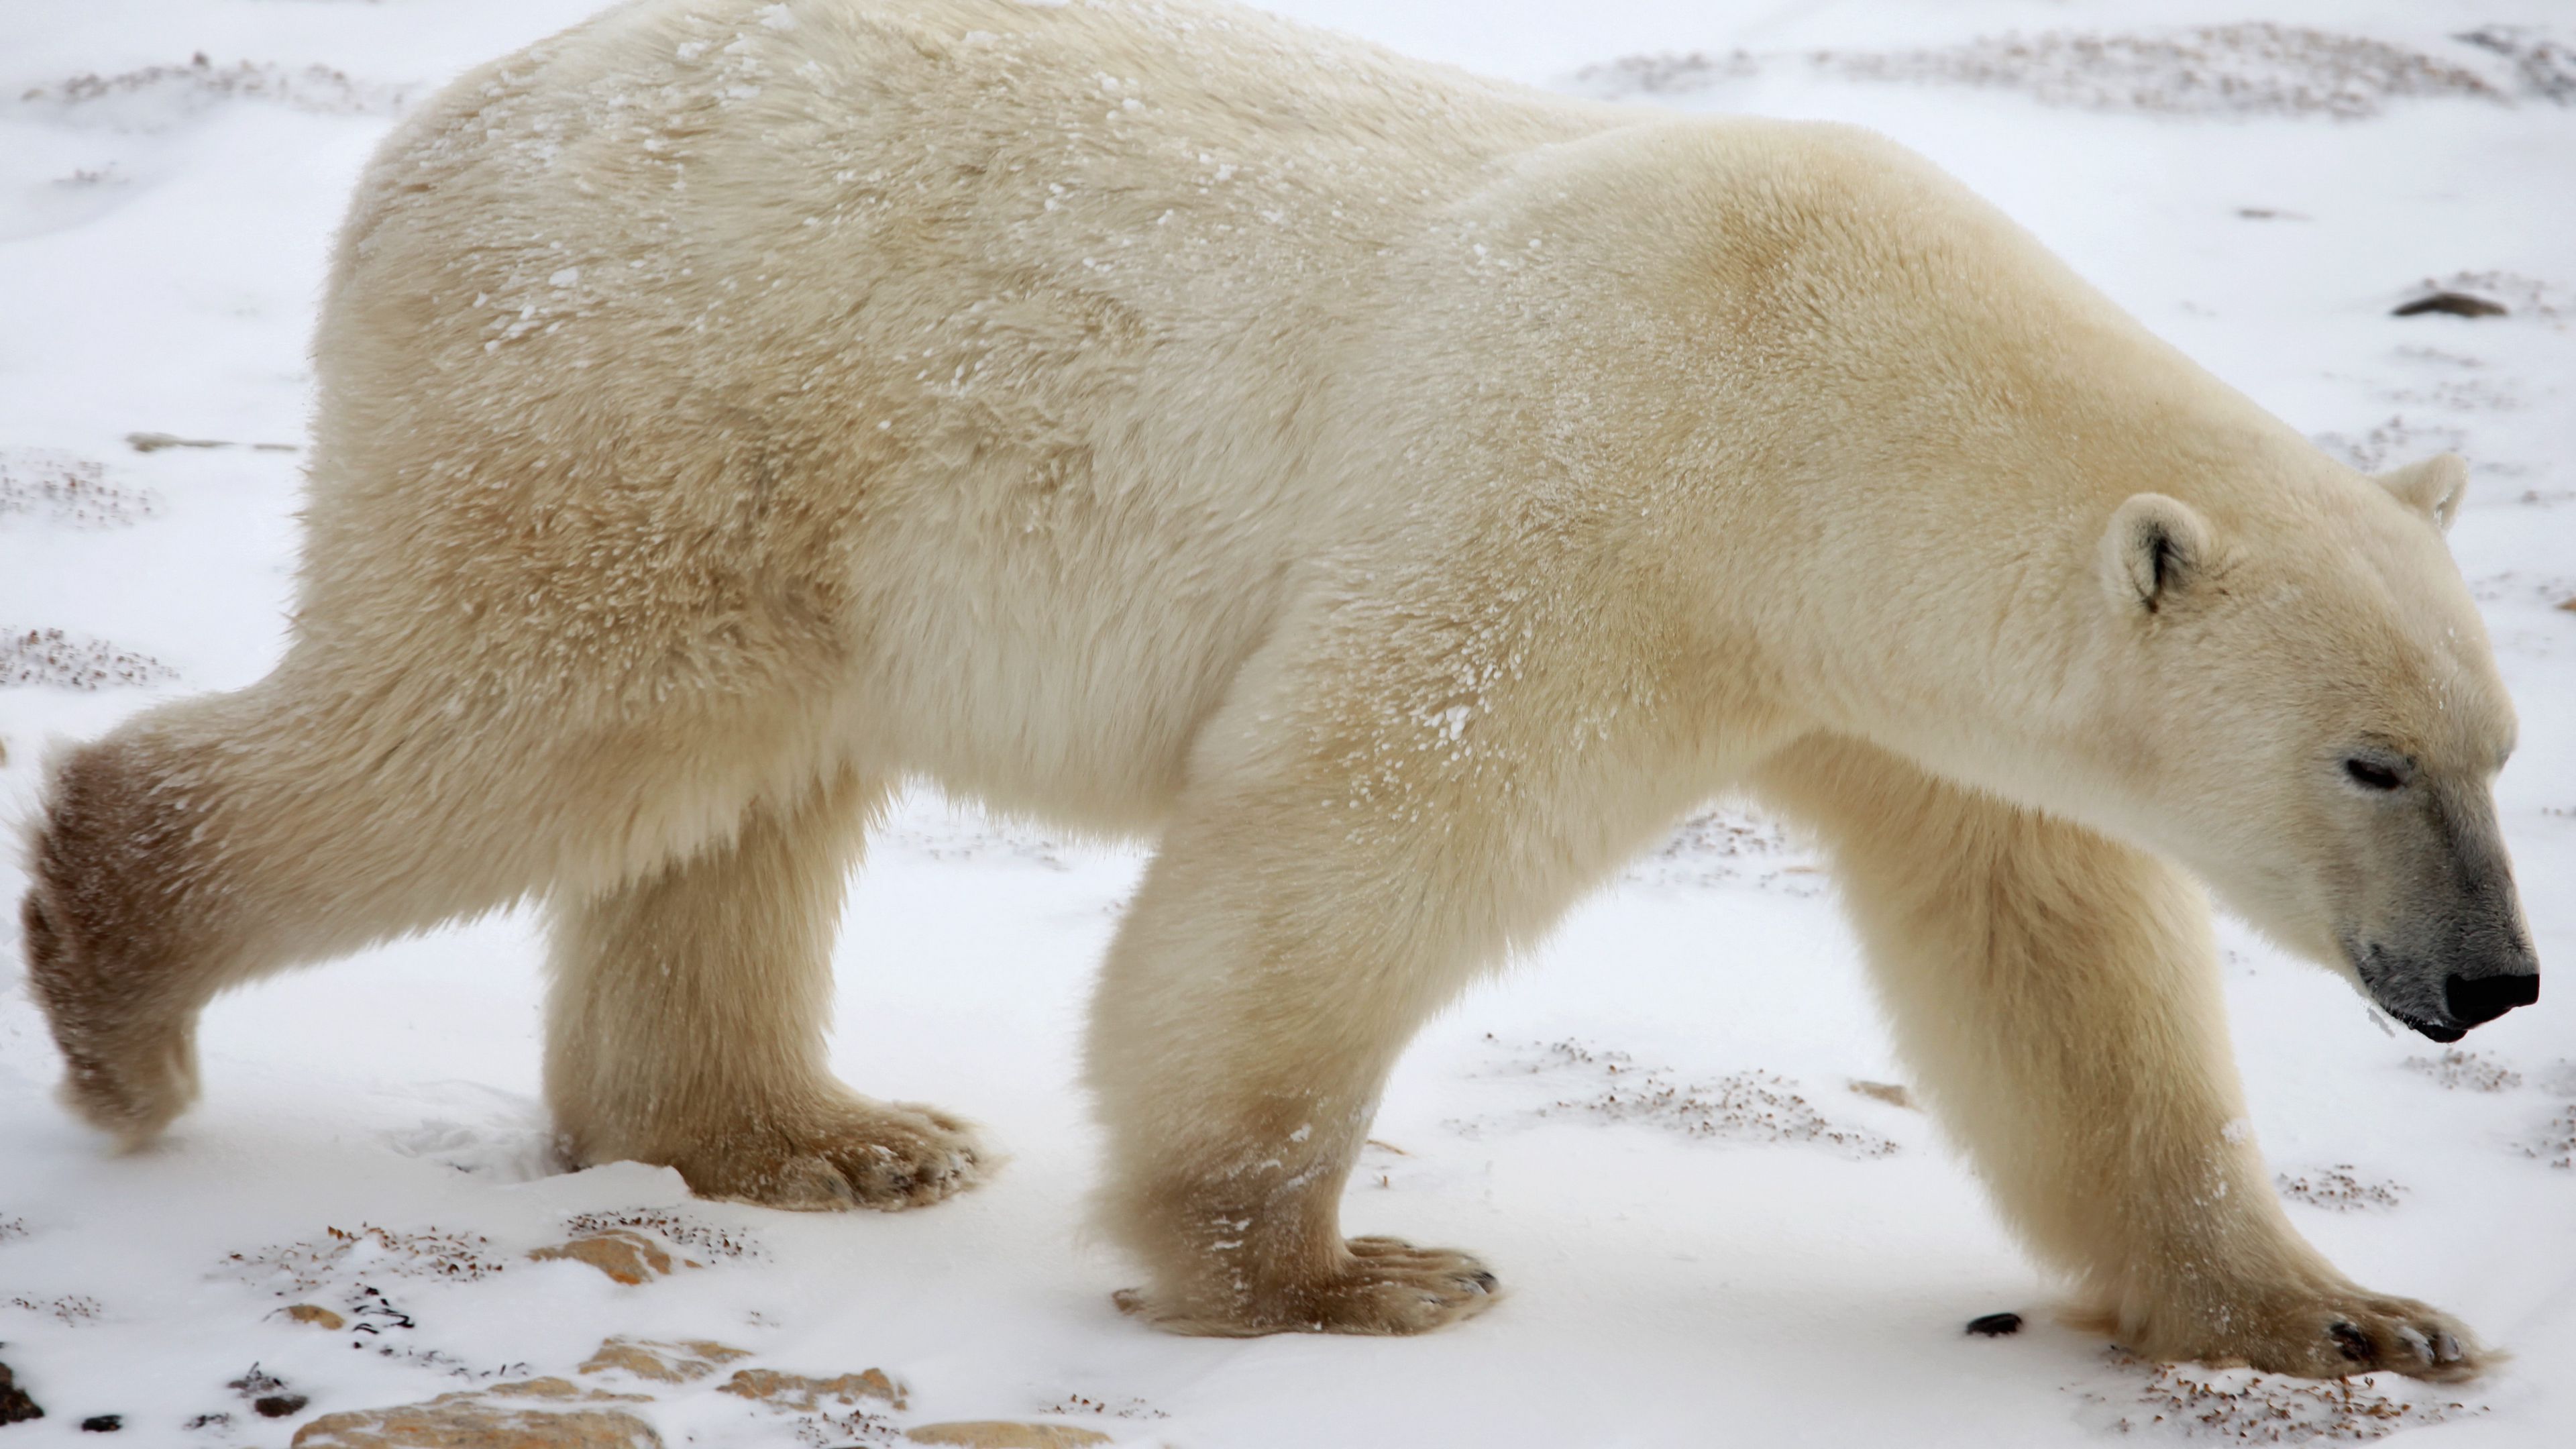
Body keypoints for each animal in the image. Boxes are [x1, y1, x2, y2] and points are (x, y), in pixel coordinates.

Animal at [17, 0, 2539, 1379]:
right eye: (2368, 758)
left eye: (2502, 753)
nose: (2493, 983)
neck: (1831, 392)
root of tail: (417, 146)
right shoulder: (1591, 486)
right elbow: (1351, 824)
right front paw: (1341, 1274)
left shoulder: (1889, 693)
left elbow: (2059, 973)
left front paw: (2348, 1317)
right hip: (650, 397)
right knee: (522, 720)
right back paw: (125, 992)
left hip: (777, 481)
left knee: (729, 801)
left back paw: (816, 1134)